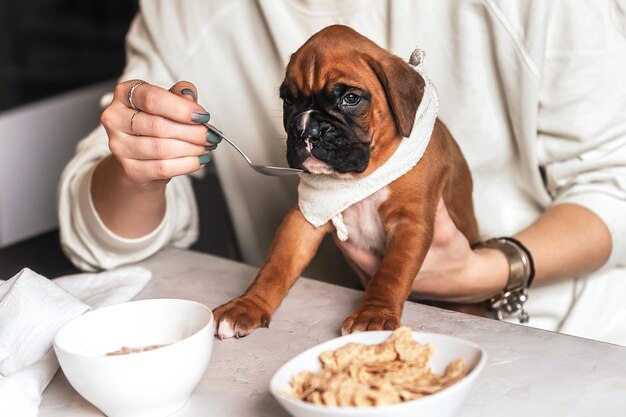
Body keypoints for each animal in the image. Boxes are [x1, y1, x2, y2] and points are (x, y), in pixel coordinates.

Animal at [212, 24, 476, 340]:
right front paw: (248, 304)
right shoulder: (305, 216)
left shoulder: (409, 223)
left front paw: (373, 315)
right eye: (288, 101)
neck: (360, 177)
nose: (307, 130)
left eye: (350, 99)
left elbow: (390, 273)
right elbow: (276, 266)